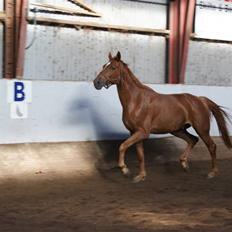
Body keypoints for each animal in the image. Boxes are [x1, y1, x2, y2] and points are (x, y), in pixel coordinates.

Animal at [93, 51, 231, 182]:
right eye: (104, 66)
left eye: (113, 68)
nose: (96, 82)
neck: (136, 101)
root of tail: (200, 100)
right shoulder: (135, 132)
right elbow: (140, 155)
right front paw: (141, 176)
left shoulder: (142, 132)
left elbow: (122, 146)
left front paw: (125, 169)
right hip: (178, 130)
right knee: (193, 140)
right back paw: (184, 164)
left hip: (201, 128)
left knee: (211, 146)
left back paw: (212, 173)